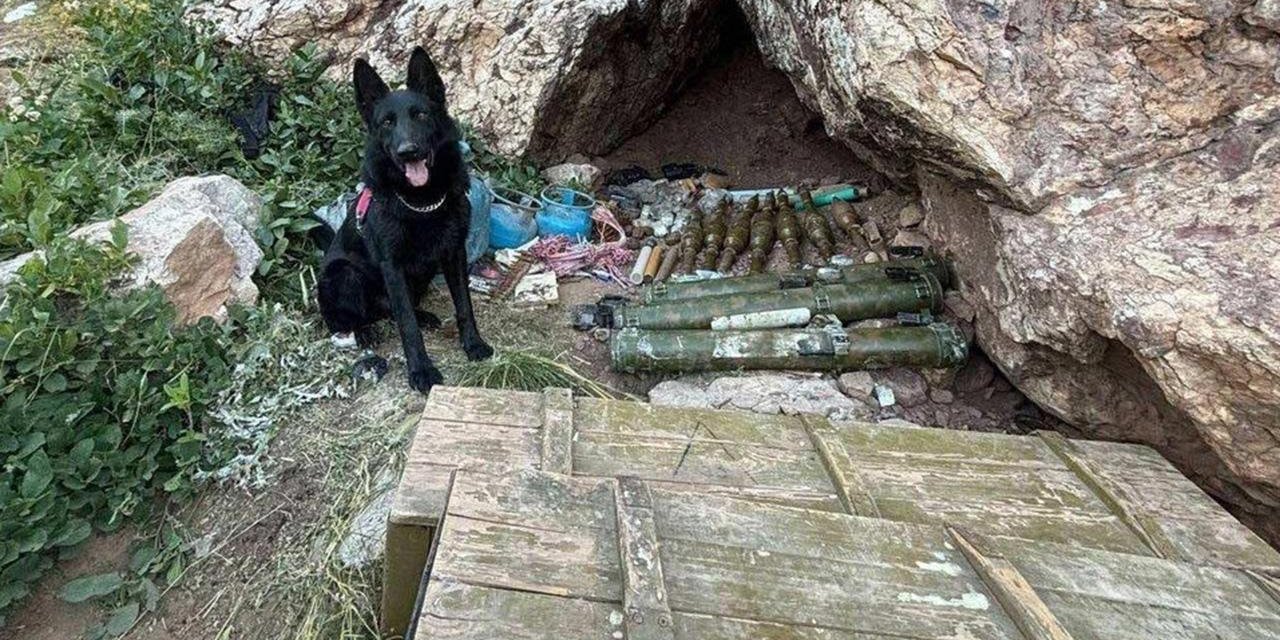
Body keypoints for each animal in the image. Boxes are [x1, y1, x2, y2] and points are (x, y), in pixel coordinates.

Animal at [317, 47, 491, 391]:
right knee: (349, 318)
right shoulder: (392, 266)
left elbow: (464, 305)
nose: (408, 151)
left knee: (392, 310)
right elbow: (407, 326)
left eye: (421, 115)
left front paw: (473, 343)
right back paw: (361, 332)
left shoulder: (454, 253)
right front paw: (421, 370)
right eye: (387, 122)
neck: (420, 203)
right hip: (343, 274)